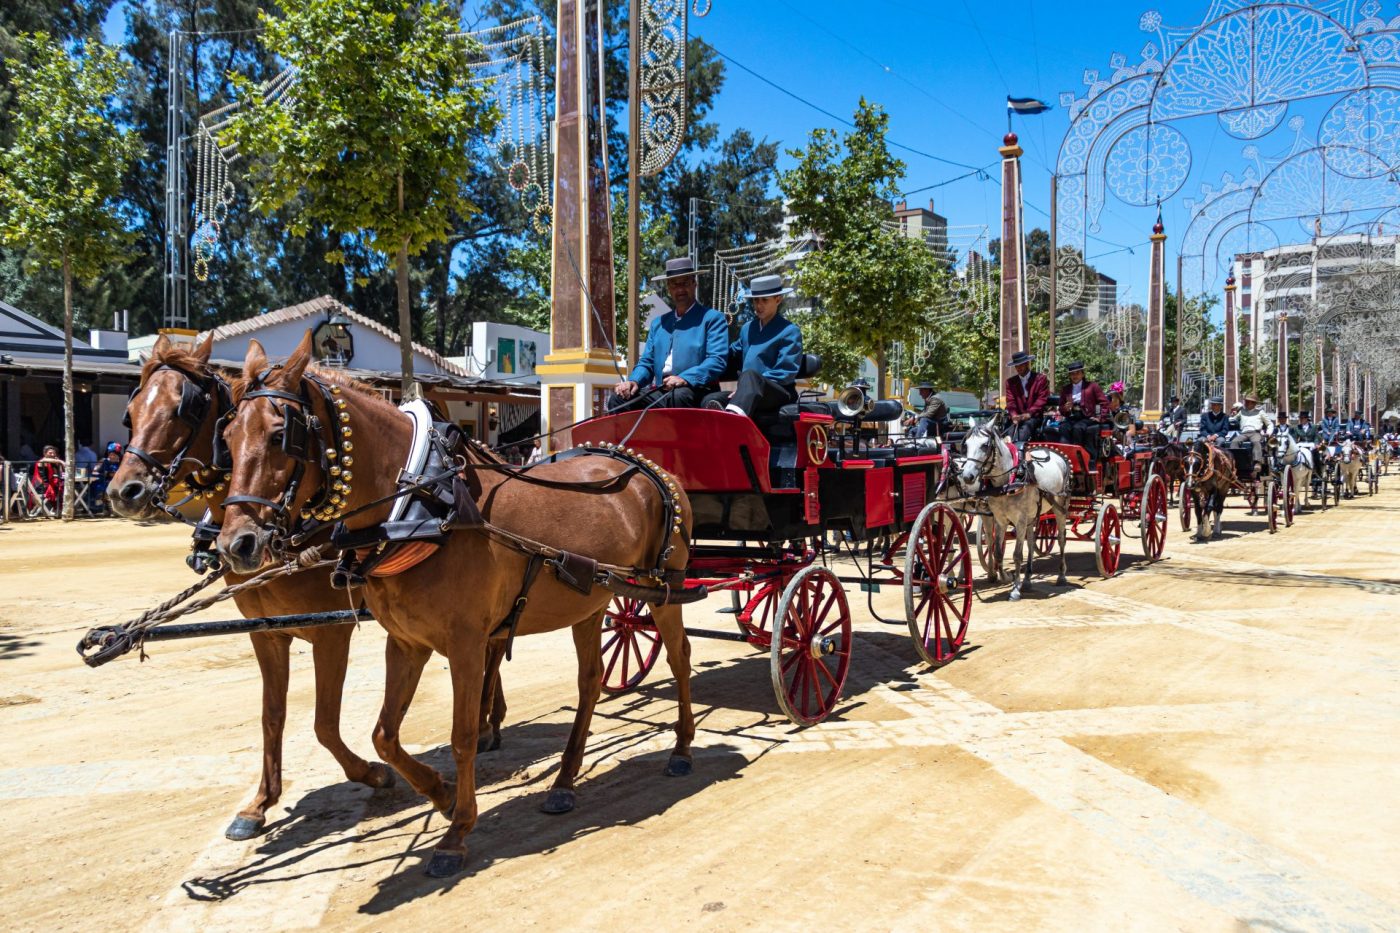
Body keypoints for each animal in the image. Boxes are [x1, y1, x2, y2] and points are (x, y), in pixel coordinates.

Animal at [105, 332, 394, 834]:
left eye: (183, 408)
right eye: (132, 412)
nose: (124, 491)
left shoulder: (331, 630)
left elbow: (323, 721)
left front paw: (372, 772)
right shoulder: (265, 632)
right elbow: (271, 715)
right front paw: (260, 802)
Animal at [215, 332, 697, 874]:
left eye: (281, 435)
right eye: (227, 437)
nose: (237, 545)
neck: (419, 505)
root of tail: (643, 464)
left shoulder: (465, 644)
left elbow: (463, 735)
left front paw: (457, 830)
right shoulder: (405, 642)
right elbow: (385, 735)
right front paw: (442, 796)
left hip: (665, 588)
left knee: (679, 658)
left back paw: (681, 748)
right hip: (593, 602)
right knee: (591, 680)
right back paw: (565, 781)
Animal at [963, 425, 1069, 599]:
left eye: (985, 445)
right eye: (966, 445)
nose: (967, 476)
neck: (1006, 483)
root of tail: (1055, 454)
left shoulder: (1019, 520)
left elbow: (1017, 555)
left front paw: (1014, 590)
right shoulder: (1000, 519)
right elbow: (998, 551)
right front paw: (1006, 577)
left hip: (1059, 507)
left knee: (1061, 539)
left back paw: (1061, 576)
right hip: (1032, 515)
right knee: (1032, 542)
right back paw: (1027, 580)